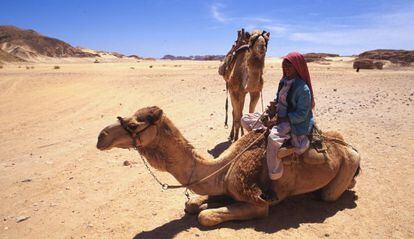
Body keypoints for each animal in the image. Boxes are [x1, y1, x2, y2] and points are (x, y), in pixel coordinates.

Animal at [96, 106, 360, 226]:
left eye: (134, 124)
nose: (101, 136)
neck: (222, 168)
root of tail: (349, 147)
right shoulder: (222, 185)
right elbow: (193, 204)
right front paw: (202, 202)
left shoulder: (257, 202)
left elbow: (205, 216)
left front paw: (208, 209)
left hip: (346, 166)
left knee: (329, 193)